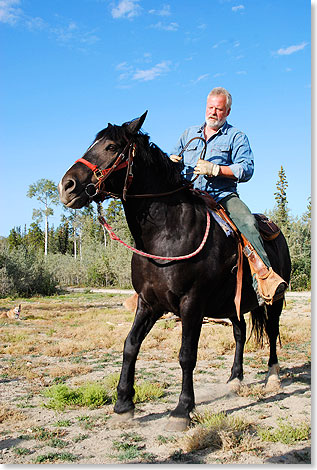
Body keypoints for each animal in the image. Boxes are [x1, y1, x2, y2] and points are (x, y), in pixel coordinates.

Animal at [58, 113, 290, 430]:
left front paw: (182, 410)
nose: (66, 186)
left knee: (272, 329)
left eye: (111, 147)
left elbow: (186, 355)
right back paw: (235, 379)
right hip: (232, 304)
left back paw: (273, 377)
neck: (167, 234)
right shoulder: (148, 302)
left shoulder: (192, 304)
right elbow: (130, 345)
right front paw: (123, 404)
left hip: (275, 300)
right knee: (240, 333)